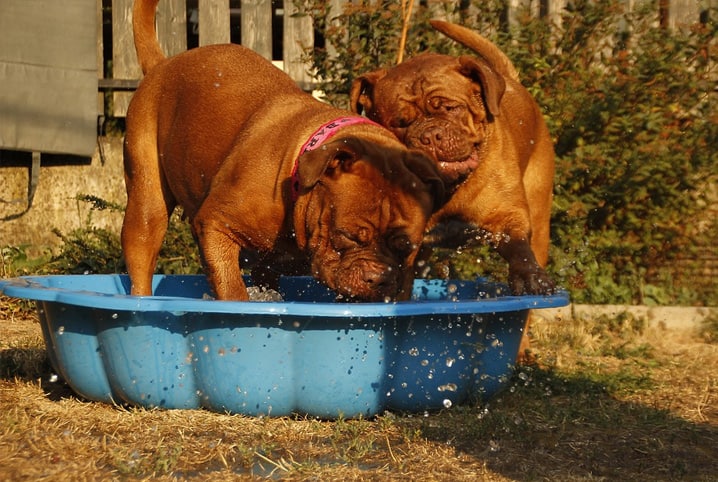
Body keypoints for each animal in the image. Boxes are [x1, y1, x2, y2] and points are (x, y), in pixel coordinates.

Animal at [121, 0, 442, 302]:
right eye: (346, 236)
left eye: (405, 248)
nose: (379, 279)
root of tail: (163, 64)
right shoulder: (215, 226)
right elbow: (232, 288)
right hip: (146, 203)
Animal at [352, 21, 560, 358]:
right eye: (399, 122)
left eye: (451, 108)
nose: (430, 135)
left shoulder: (507, 215)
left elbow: (517, 245)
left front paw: (528, 276)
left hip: (540, 218)